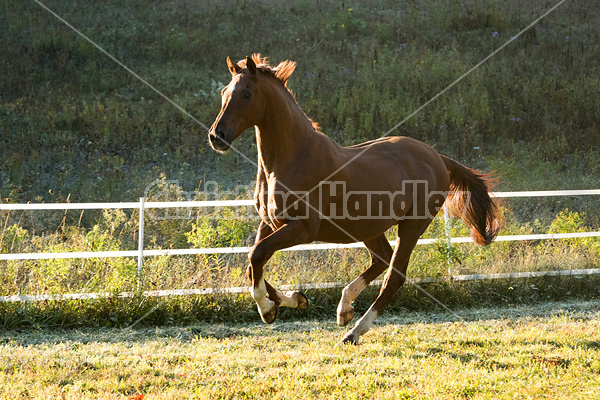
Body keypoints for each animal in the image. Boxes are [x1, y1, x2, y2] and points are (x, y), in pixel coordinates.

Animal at [209, 55, 500, 344]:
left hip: (412, 225)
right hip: (368, 228)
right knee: (382, 258)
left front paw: (267, 310)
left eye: (247, 94)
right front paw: (297, 299)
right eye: (224, 92)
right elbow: (251, 265)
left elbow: (256, 255)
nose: (216, 136)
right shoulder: (270, 223)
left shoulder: (303, 229)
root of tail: (437, 158)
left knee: (394, 275)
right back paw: (344, 310)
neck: (292, 160)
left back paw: (354, 331)